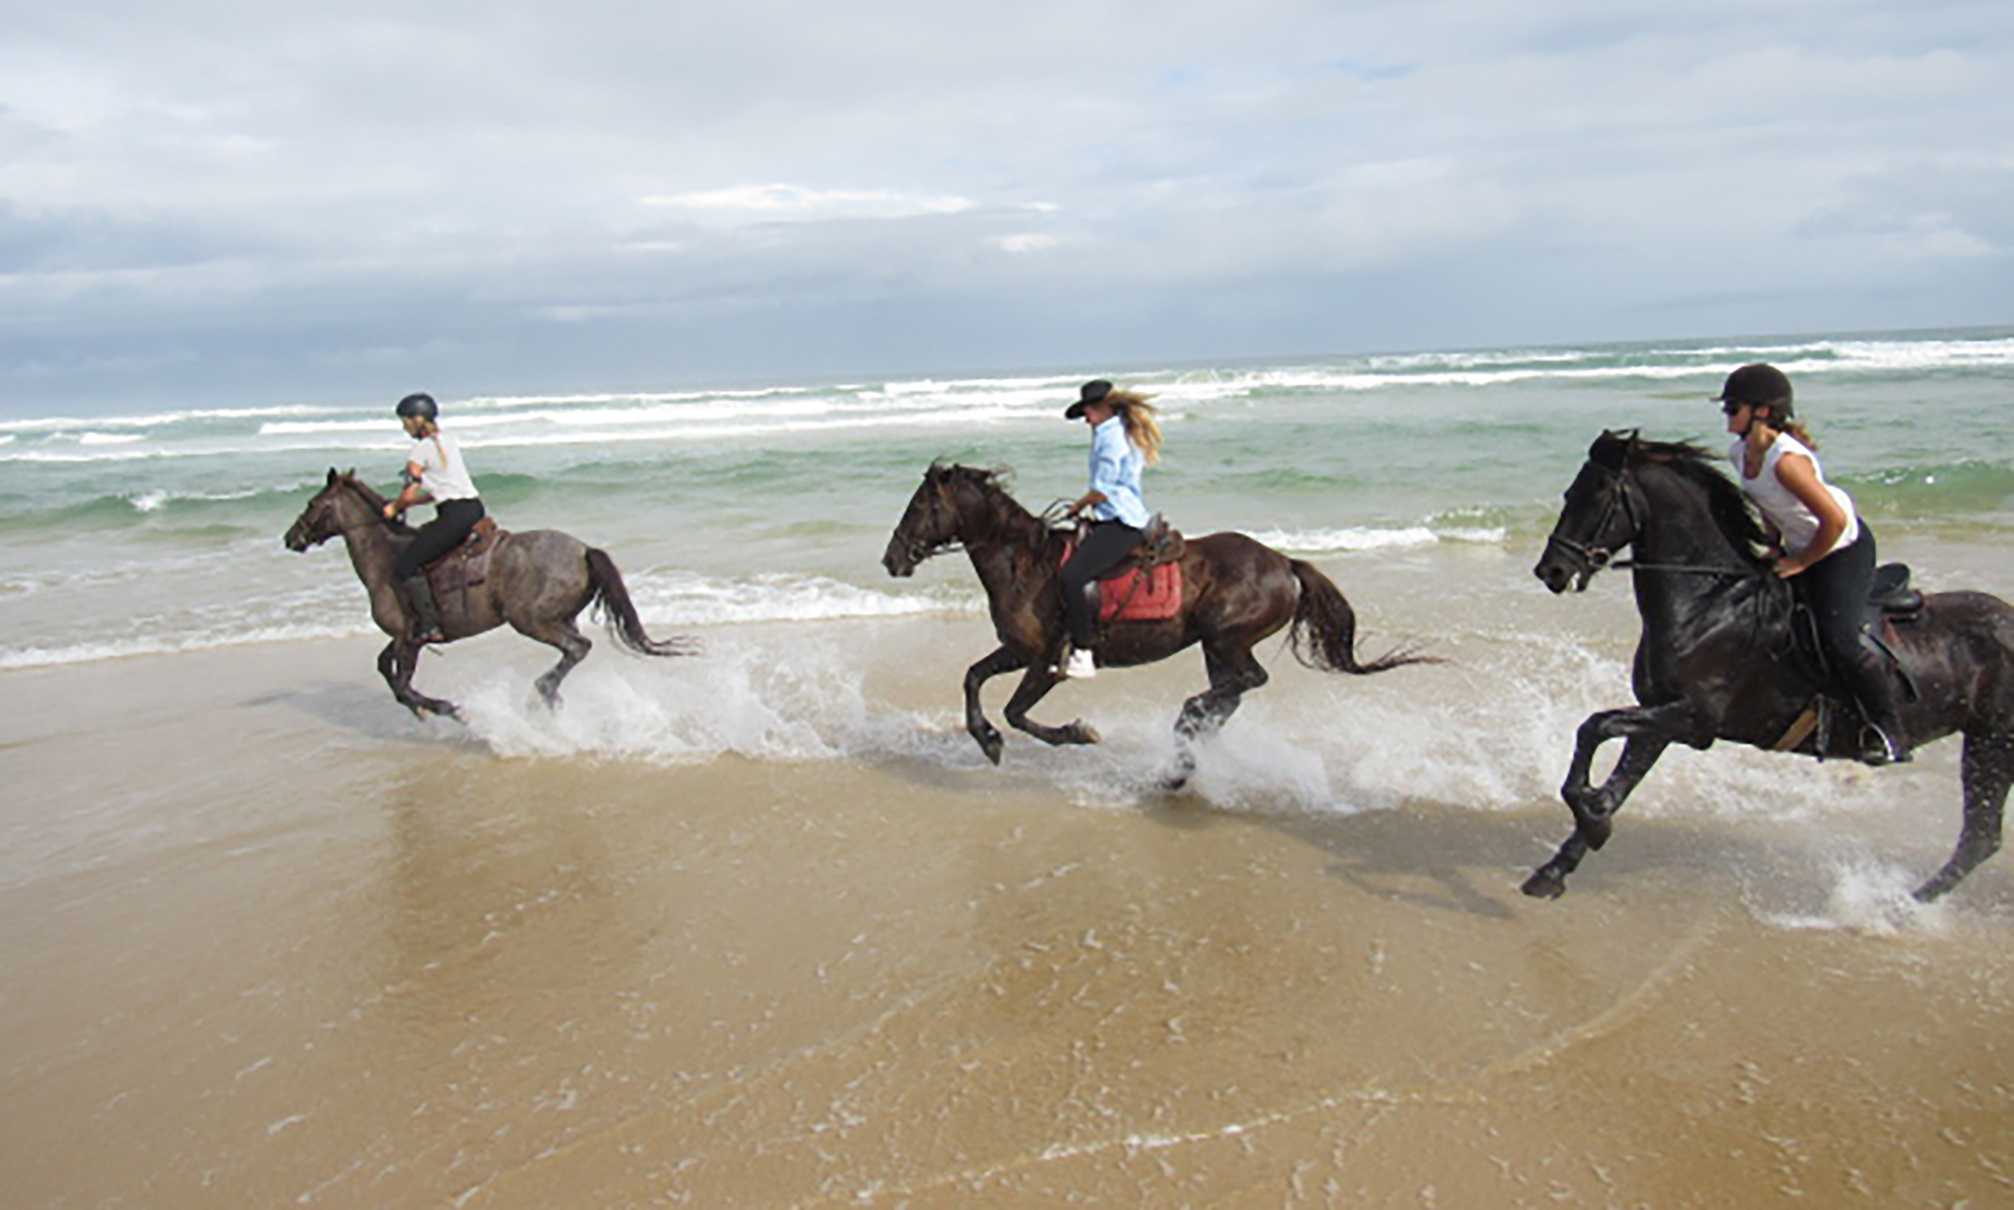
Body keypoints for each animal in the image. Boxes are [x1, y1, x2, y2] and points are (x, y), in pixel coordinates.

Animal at [284, 469, 697, 718]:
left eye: (311, 504)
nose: (291, 538)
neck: (387, 558)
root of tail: (582, 549)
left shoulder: (408, 638)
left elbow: (402, 684)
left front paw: (447, 709)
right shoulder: (405, 637)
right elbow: (386, 668)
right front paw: (431, 708)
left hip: (530, 620)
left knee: (578, 648)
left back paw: (544, 692)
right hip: (558, 617)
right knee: (574, 649)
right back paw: (550, 697)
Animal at [880, 463, 1431, 781]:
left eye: (921, 505)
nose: (891, 559)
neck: (1024, 563)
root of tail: (1285, 563)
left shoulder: (1045, 661)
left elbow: (1017, 712)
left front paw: (1077, 733)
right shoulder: (1017, 651)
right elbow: (972, 678)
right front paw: (987, 739)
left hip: (1227, 637)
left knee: (1248, 681)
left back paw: (1185, 727)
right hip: (1214, 646)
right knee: (1232, 694)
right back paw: (1183, 754)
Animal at [1526, 430, 2014, 901]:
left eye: (1594, 497)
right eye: (1571, 493)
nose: (1550, 571)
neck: (1707, 603)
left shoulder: (1694, 718)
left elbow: (1595, 727)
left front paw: (1590, 820)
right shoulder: (1661, 716)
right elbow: (1614, 780)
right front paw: (1561, 861)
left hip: (1992, 741)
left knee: (1980, 837)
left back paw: (1903, 904)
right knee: (1981, 838)